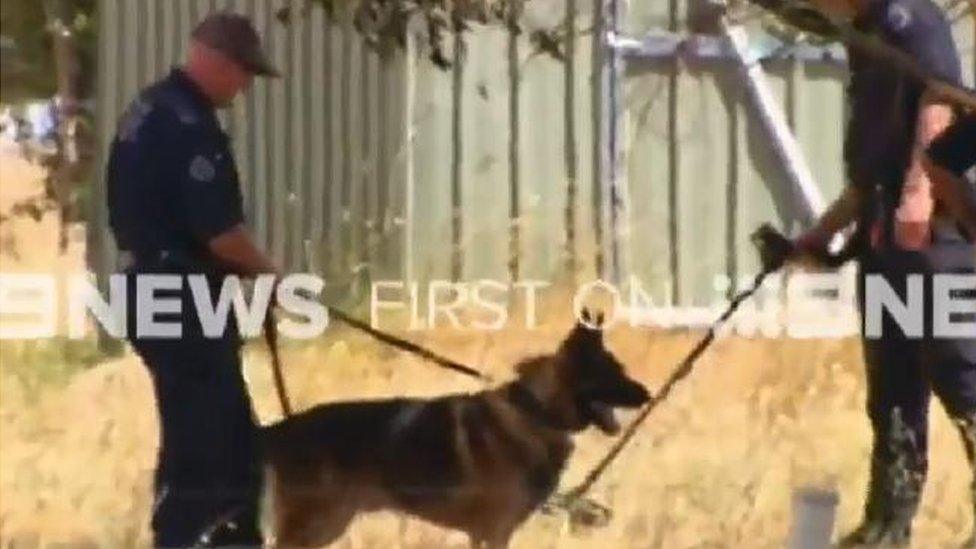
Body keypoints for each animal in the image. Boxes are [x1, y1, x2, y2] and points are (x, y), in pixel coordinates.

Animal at [264, 310, 652, 544]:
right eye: (613, 373)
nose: (648, 395)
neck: (534, 411)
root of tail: (281, 428)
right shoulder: (494, 532)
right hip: (313, 525)